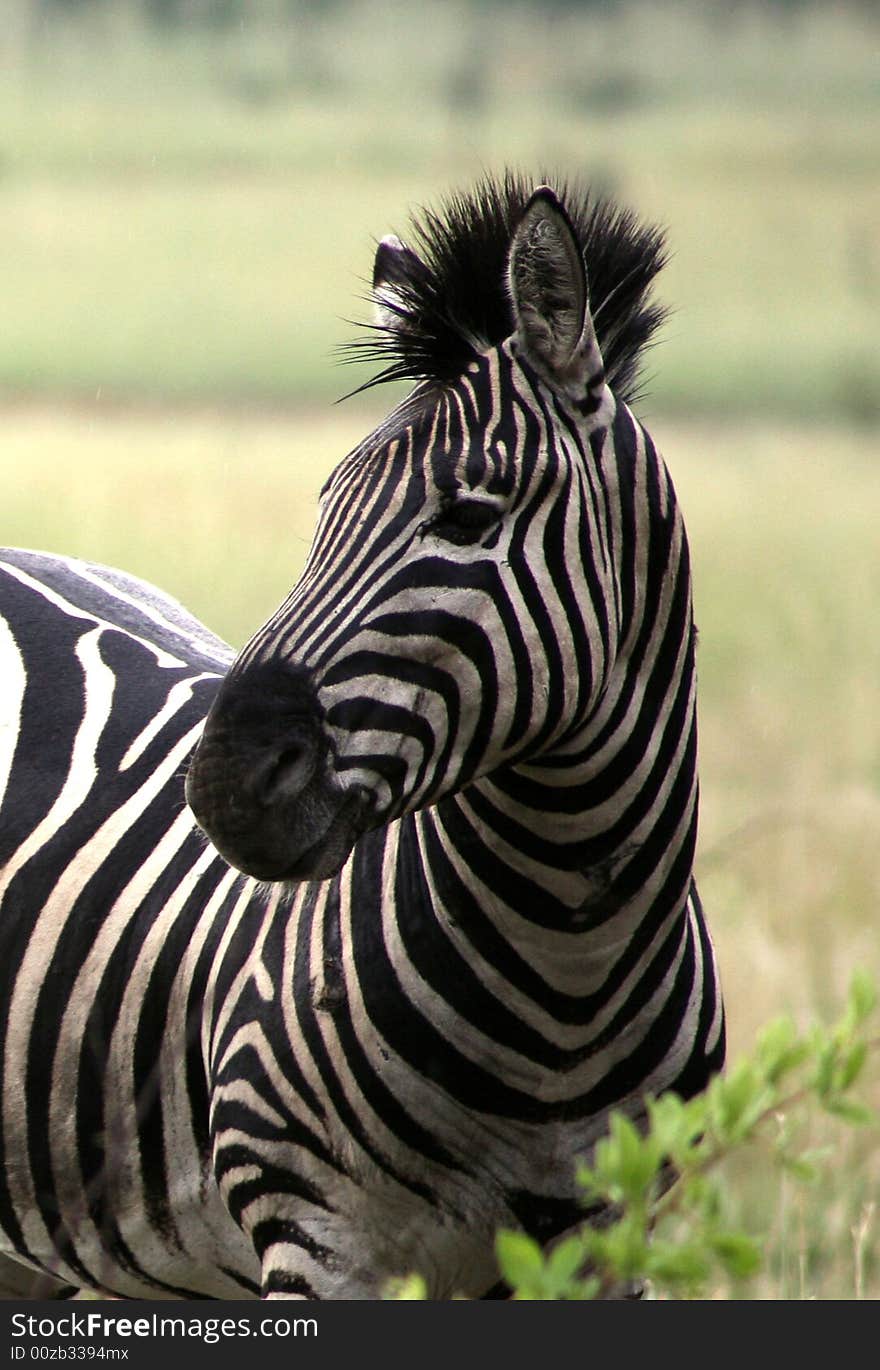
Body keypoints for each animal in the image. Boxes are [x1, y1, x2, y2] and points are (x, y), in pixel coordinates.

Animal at [0, 171, 723, 1293]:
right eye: (325, 508)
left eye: (468, 516)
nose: (221, 784)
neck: (572, 971)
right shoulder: (319, 1243)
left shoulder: (617, 1250)